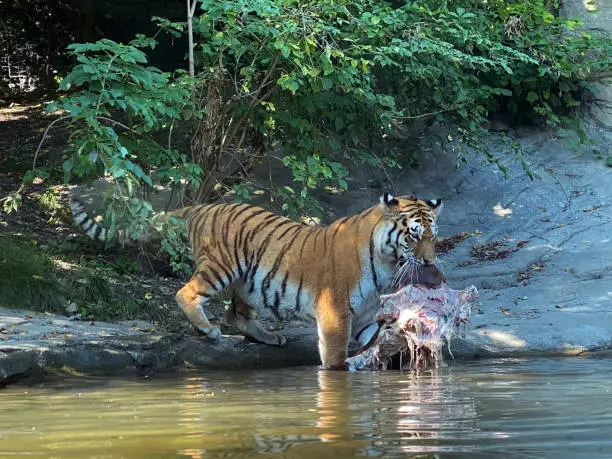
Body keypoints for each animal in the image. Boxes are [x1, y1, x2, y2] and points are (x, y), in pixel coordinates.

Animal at [71, 193, 442, 370]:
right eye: (414, 235)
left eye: (433, 236)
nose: (429, 261)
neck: (386, 262)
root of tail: (200, 207)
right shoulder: (335, 311)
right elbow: (336, 355)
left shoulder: (364, 316)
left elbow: (371, 343)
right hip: (222, 267)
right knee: (186, 293)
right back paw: (208, 329)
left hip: (252, 285)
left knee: (235, 313)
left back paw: (270, 337)